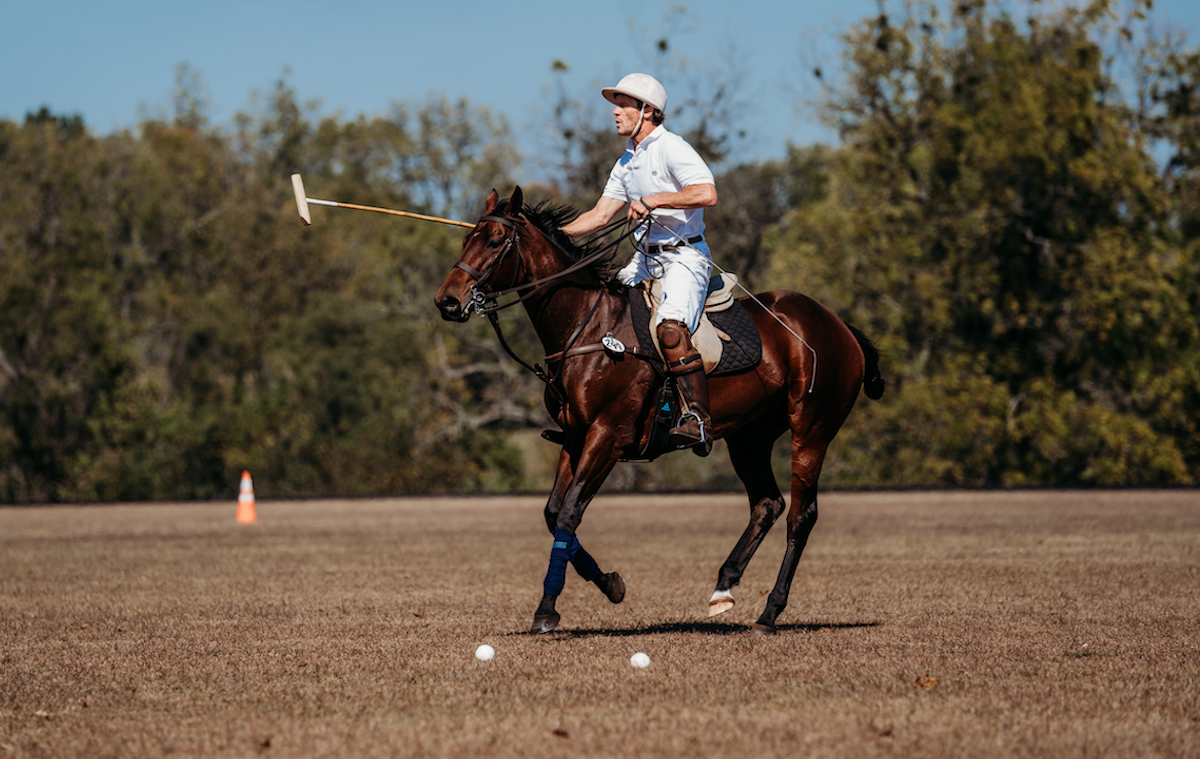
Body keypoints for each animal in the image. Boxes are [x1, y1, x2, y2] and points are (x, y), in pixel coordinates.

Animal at [434, 188, 883, 634]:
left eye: (495, 242)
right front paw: (610, 584)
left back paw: (769, 613)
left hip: (812, 428)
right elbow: (553, 512)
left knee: (801, 515)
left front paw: (548, 609)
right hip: (749, 435)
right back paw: (723, 587)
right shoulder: (576, 437)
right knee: (767, 504)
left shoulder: (607, 436)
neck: (587, 326)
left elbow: (569, 514)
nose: (447, 302)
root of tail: (841, 326)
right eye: (466, 239)